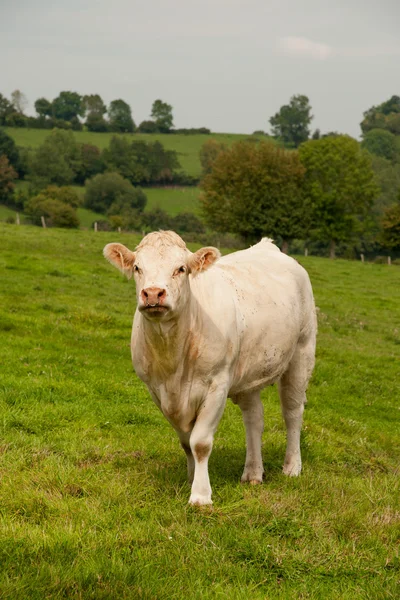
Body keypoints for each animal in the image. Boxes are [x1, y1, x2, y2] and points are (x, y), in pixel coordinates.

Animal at [104, 232, 318, 504]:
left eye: (181, 269)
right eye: (137, 268)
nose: (152, 294)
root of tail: (268, 246)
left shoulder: (217, 384)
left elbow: (200, 442)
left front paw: (201, 495)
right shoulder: (157, 390)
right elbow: (186, 441)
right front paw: (191, 479)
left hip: (302, 352)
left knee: (292, 413)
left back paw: (292, 467)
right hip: (249, 372)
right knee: (254, 419)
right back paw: (253, 473)